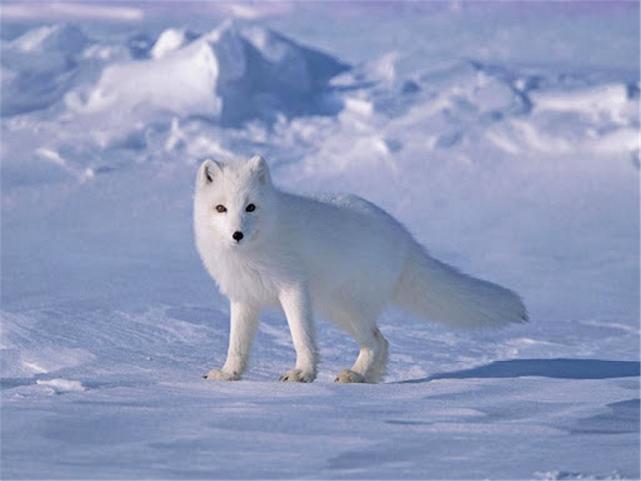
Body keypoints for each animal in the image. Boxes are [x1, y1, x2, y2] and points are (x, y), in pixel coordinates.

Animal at [194, 154, 524, 382]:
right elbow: (237, 344)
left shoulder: (293, 289)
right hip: (336, 309)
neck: (254, 250)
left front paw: (302, 374)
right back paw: (366, 378)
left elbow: (302, 338)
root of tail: (405, 239)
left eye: (250, 207)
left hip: (346, 306)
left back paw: (356, 375)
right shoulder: (243, 298)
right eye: (221, 208)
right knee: (383, 342)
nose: (237, 234)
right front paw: (229, 374)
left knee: (377, 342)